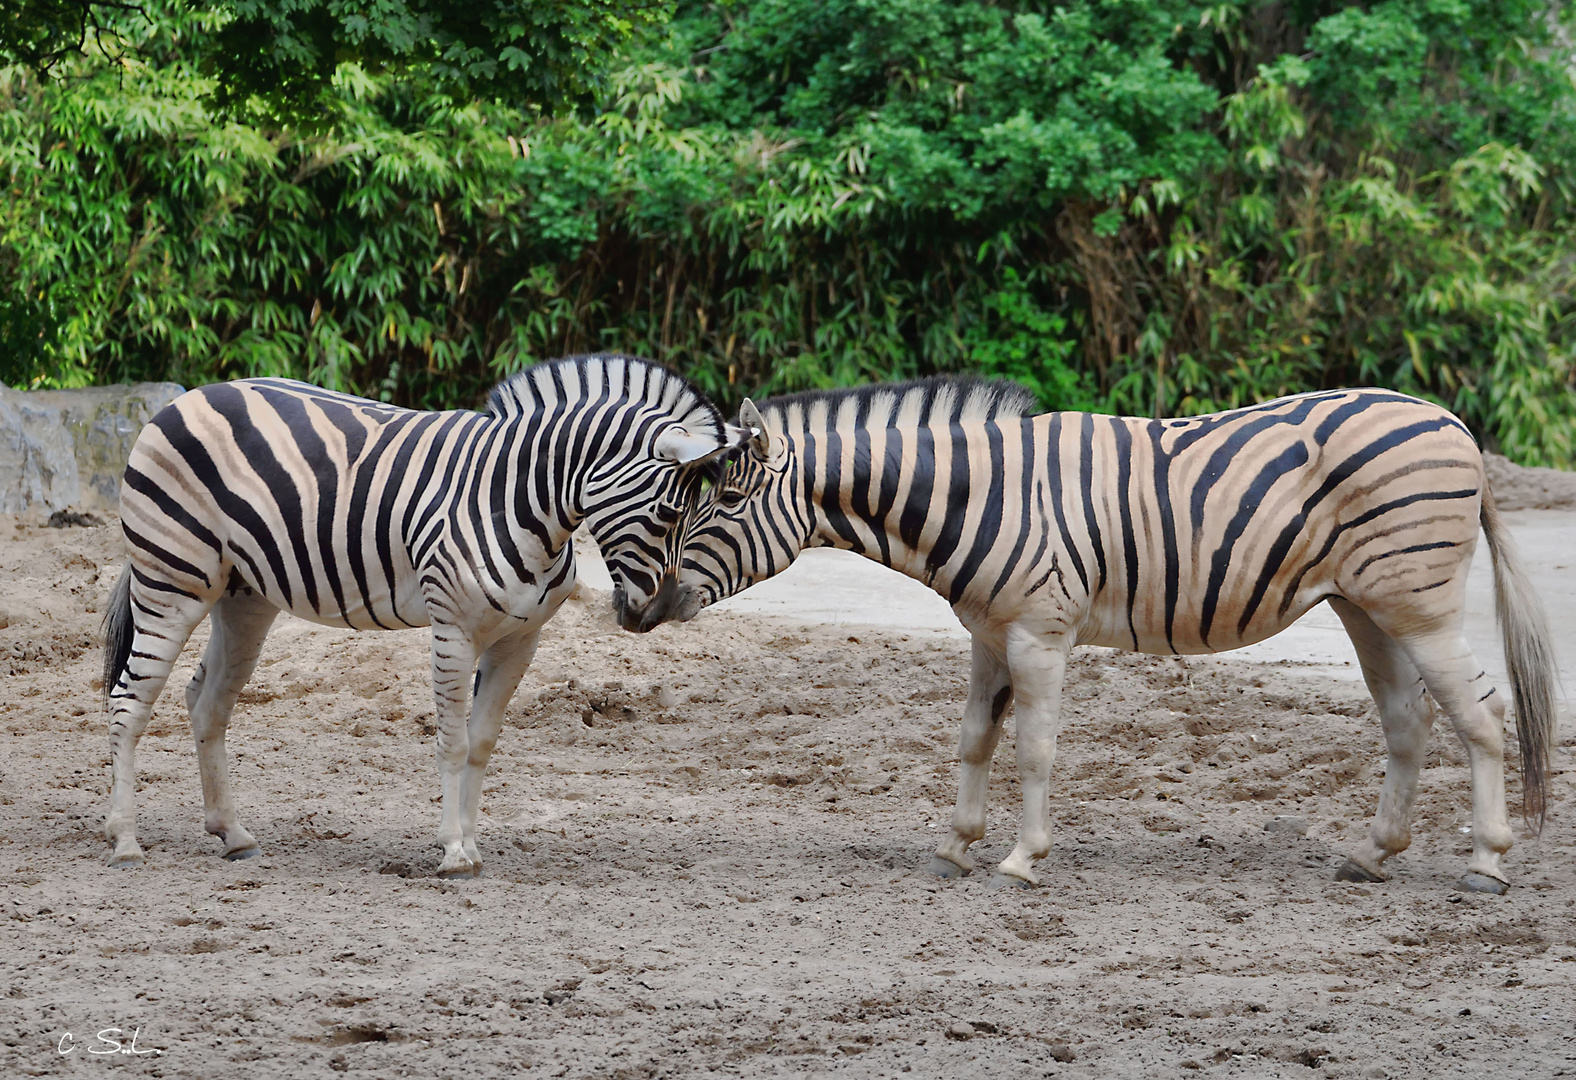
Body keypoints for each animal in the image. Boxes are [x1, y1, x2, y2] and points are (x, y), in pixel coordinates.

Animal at [104, 353, 743, 876]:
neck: (520, 499)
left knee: (205, 701)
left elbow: (482, 741)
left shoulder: (521, 639)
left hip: (243, 596)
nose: (660, 613)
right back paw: (126, 841)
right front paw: (455, 853)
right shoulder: (452, 628)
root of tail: (186, 397)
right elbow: (453, 742)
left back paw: (232, 834)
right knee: (129, 701)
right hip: (171, 580)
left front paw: (471, 844)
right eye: (668, 512)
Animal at [620, 378, 1557, 895]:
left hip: (1420, 603)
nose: (639, 610)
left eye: (724, 502)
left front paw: (1019, 860)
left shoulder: (1040, 632)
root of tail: (1453, 423)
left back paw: (1487, 864)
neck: (972, 498)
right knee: (1409, 719)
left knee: (1480, 716)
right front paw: (953, 849)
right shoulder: (988, 633)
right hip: (1367, 605)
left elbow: (1033, 749)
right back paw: (1372, 855)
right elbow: (973, 740)